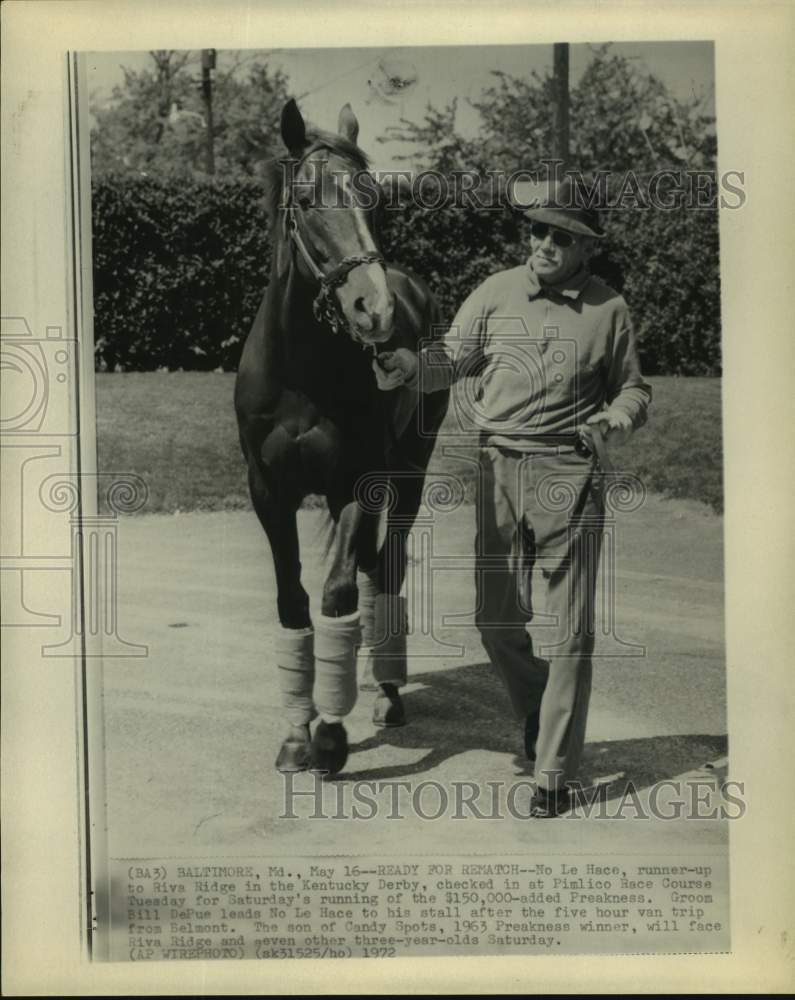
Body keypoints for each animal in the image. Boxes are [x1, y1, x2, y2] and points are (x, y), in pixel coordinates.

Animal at [233, 99, 450, 772]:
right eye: (306, 198)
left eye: (374, 200)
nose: (374, 311)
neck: (301, 370)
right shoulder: (269, 492)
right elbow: (295, 602)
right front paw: (297, 736)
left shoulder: (363, 483)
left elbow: (336, 595)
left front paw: (330, 737)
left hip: (410, 476)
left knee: (385, 572)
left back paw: (386, 694)